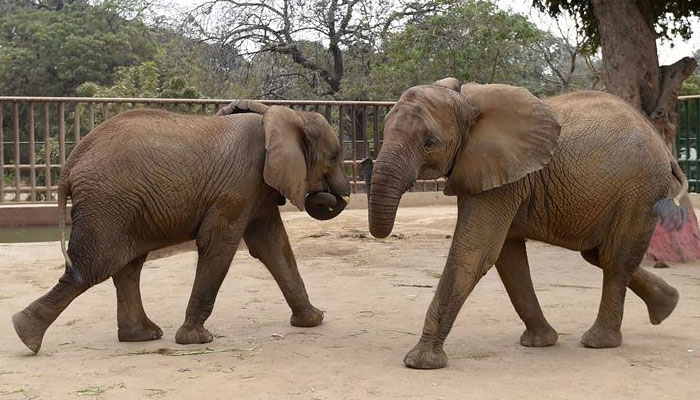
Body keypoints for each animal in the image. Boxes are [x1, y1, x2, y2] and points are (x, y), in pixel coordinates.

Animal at [15, 101, 356, 354]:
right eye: (334, 156)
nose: (329, 194)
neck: (286, 116)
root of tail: (70, 165)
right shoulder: (239, 186)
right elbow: (219, 245)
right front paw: (197, 340)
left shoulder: (257, 189)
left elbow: (273, 245)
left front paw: (313, 320)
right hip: (108, 204)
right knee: (92, 267)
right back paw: (25, 335)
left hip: (125, 207)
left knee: (127, 267)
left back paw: (141, 336)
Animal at [366, 77, 684, 368]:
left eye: (429, 143)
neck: (466, 102)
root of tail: (666, 150)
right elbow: (508, 258)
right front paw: (541, 342)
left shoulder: (499, 175)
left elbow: (474, 253)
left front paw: (420, 362)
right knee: (598, 254)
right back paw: (667, 306)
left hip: (639, 190)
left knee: (613, 258)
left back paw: (599, 342)